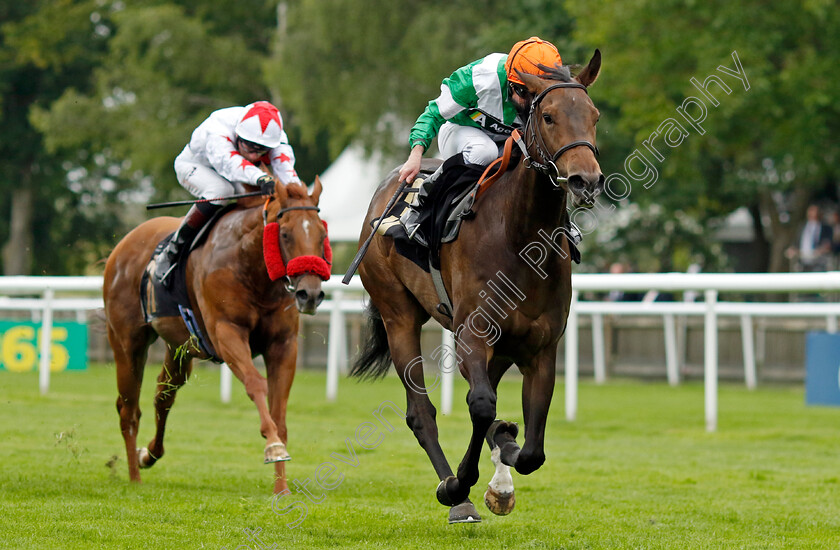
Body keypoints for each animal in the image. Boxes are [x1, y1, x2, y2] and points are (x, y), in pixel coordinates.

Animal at [103, 179, 330, 494]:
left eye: (322, 234)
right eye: (284, 234)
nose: (310, 294)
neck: (251, 267)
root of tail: (122, 246)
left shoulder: (283, 345)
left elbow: (280, 413)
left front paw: (281, 488)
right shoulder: (226, 333)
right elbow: (255, 384)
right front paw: (272, 446)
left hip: (180, 348)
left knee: (163, 395)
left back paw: (147, 454)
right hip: (127, 343)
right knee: (129, 409)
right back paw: (135, 477)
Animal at [352, 50, 600, 520]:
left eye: (594, 115)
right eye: (549, 116)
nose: (586, 179)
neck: (520, 238)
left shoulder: (541, 349)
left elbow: (531, 449)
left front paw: (505, 461)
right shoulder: (473, 333)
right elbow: (482, 406)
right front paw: (459, 485)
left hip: (498, 347)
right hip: (398, 314)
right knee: (422, 411)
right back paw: (457, 493)